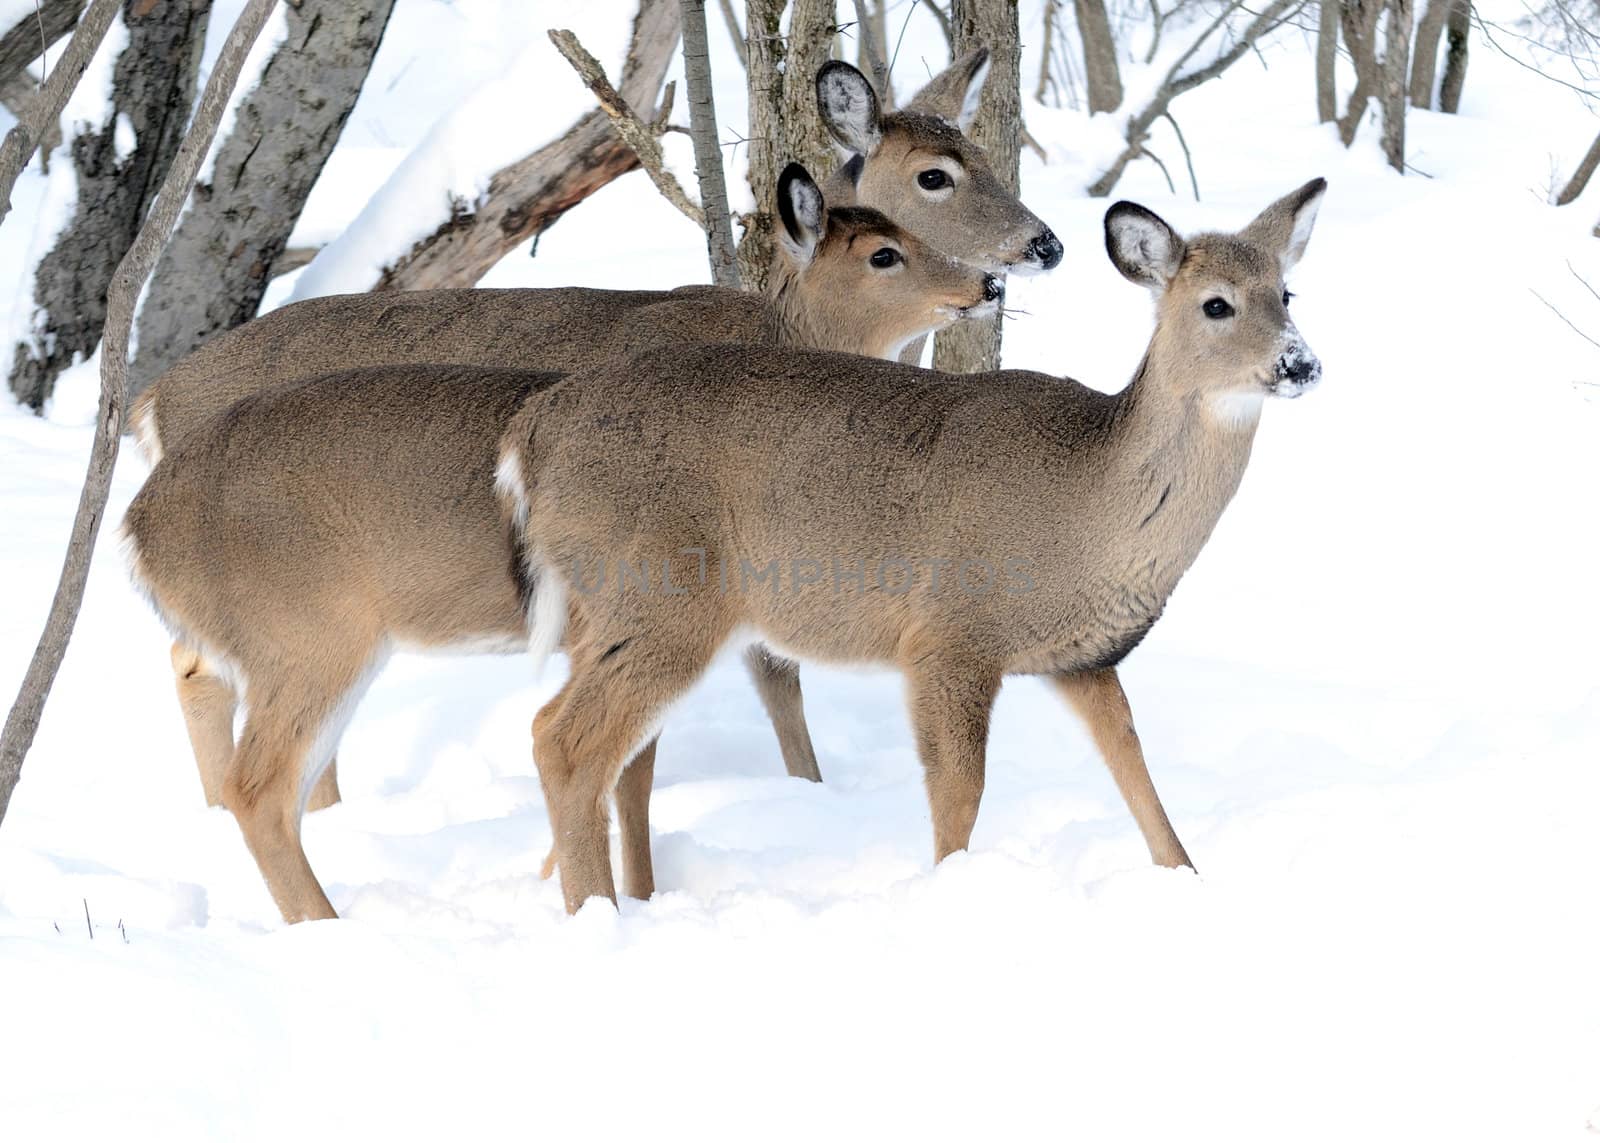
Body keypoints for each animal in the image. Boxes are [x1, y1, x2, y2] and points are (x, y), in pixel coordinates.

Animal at [121, 164, 998, 922]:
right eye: (884, 252)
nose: (988, 283)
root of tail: (149, 411)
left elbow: (647, 760)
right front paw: (578, 882)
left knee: (196, 672)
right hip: (316, 632)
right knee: (261, 759)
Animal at [131, 53, 1056, 813]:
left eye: (984, 150)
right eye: (936, 175)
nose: (1042, 246)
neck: (785, 329)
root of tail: (152, 400)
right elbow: (770, 675)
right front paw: (808, 791)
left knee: (197, 667)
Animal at [502, 180, 1324, 909]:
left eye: (1287, 294)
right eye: (1216, 303)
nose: (1302, 363)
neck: (1089, 501)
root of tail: (535, 431)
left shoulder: (1082, 659)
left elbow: (1136, 768)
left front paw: (1189, 883)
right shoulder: (949, 635)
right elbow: (960, 795)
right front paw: (949, 894)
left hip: (609, 609)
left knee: (594, 746)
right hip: (660, 592)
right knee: (564, 742)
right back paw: (597, 915)